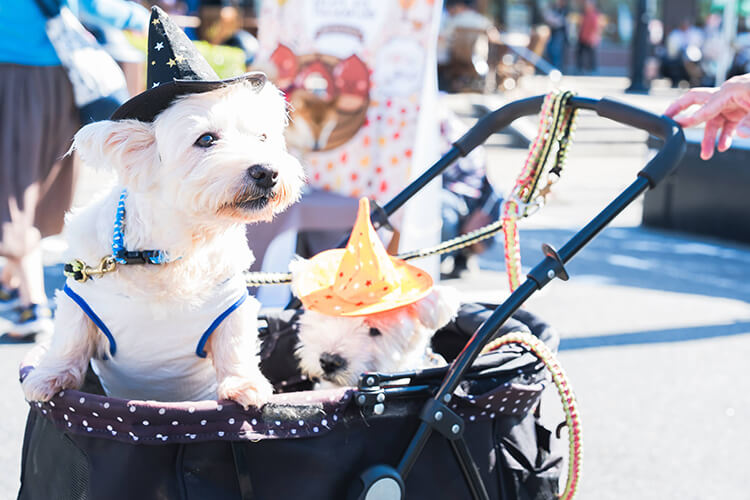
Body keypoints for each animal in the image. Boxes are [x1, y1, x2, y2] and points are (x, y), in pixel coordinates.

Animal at [23, 76, 306, 408]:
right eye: (206, 139)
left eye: (262, 137)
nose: (268, 172)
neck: (165, 254)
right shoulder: (80, 294)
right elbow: (70, 336)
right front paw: (48, 377)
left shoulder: (231, 304)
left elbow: (235, 342)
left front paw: (243, 384)